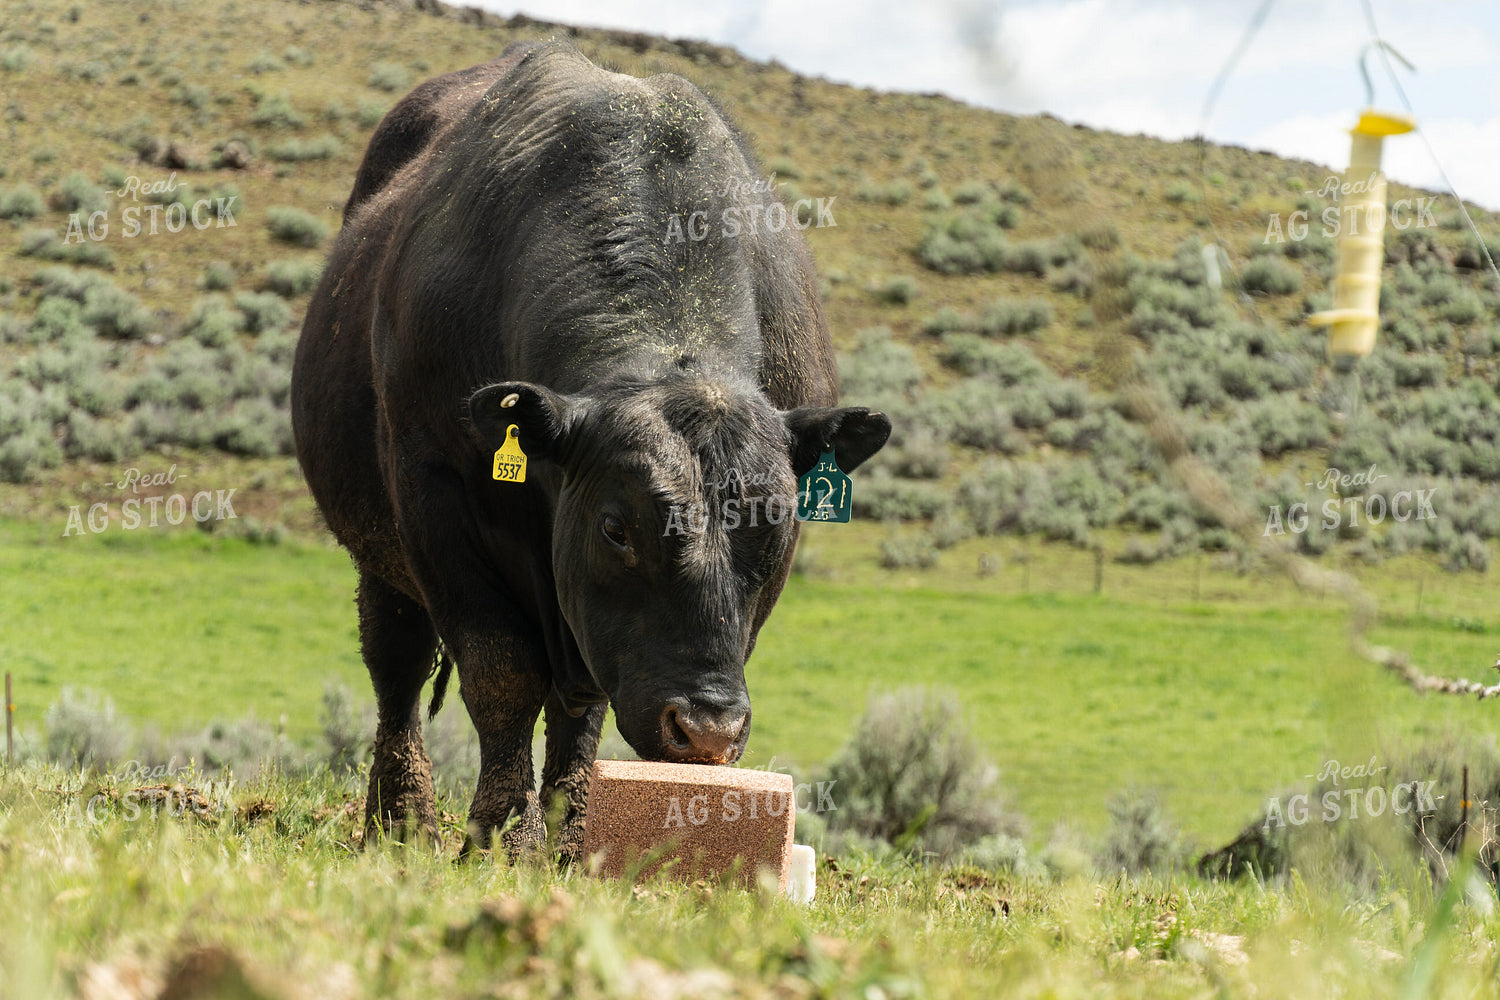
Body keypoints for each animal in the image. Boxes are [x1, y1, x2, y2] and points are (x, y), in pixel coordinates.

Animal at [290, 39, 890, 858]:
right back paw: (400, 819)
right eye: (617, 527)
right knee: (398, 664)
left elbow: (582, 706)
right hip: (380, 553)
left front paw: (574, 840)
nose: (706, 729)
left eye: (776, 526)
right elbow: (501, 675)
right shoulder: (433, 494)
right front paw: (500, 839)